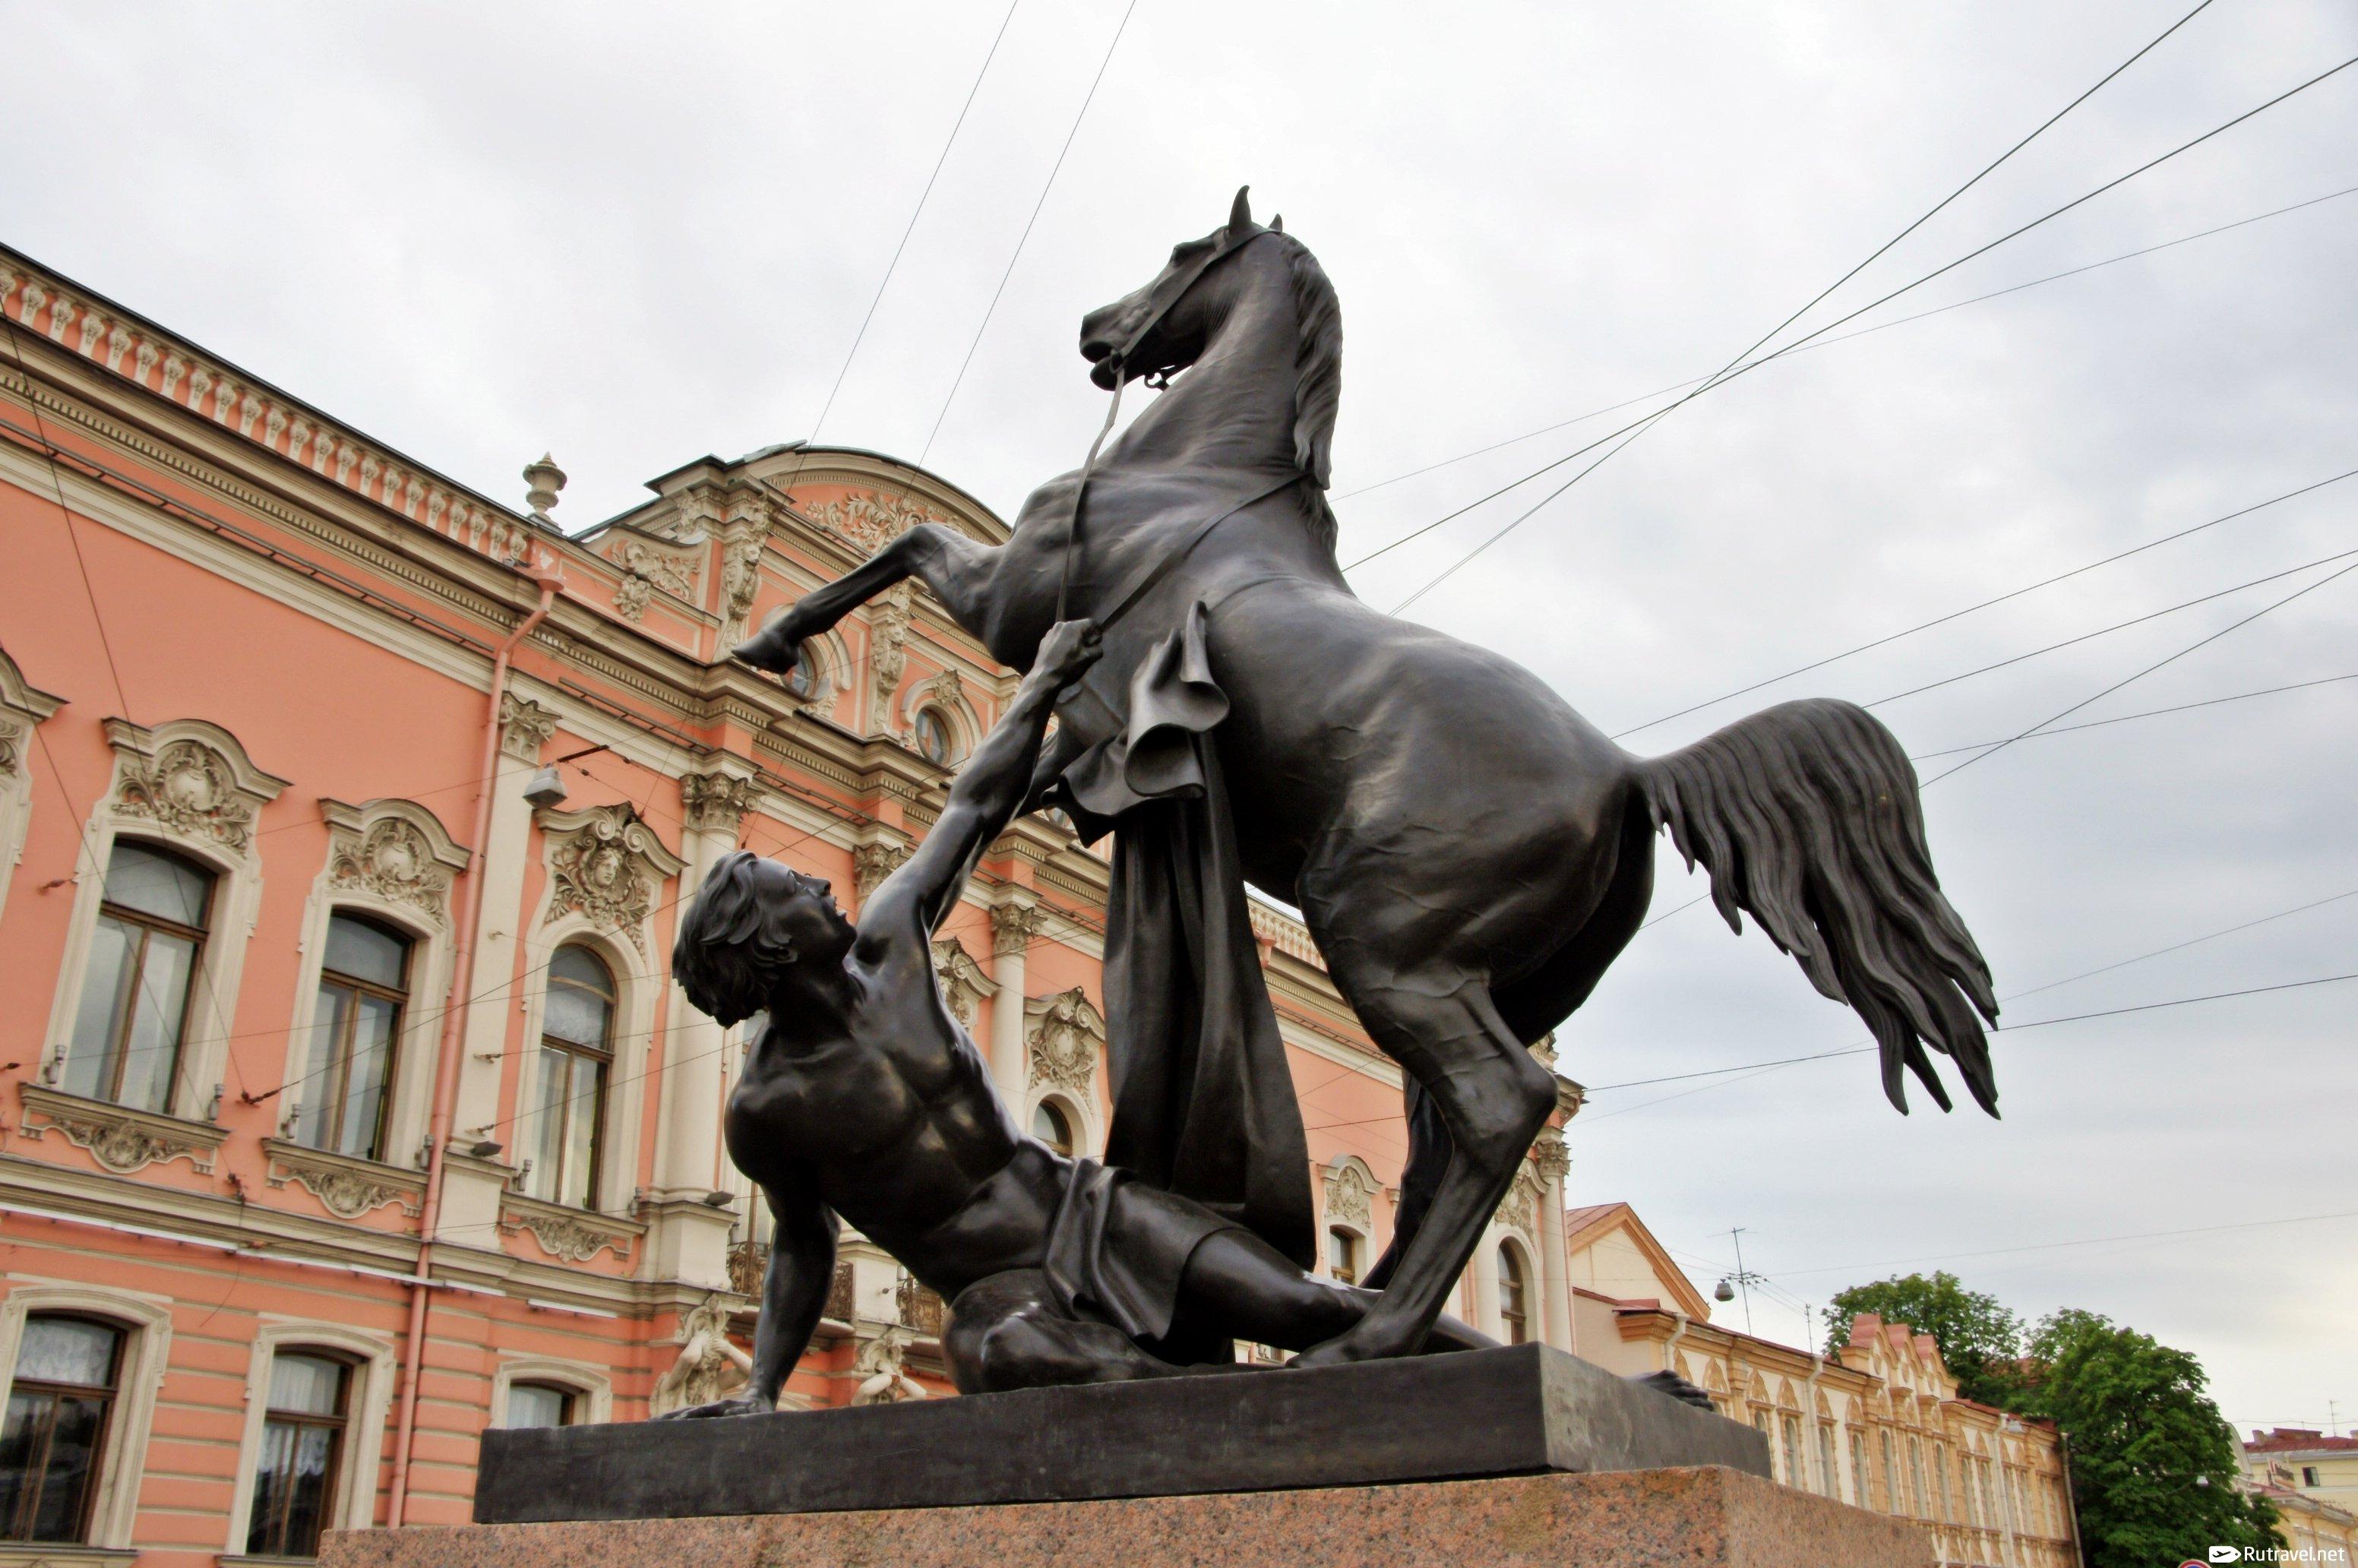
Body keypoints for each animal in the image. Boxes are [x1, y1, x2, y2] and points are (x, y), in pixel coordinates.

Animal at [744, 189, 1999, 1367]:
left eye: (1186, 251)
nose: (1098, 329)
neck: (1196, 473)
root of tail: (1633, 772)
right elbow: (1000, 733)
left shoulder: (1012, 595)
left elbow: (905, 547)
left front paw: (774, 639)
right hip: (1483, 982)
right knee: (1448, 1148)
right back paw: (1362, 1305)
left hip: (1385, 945)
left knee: (1501, 1107)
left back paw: (1364, 1335)